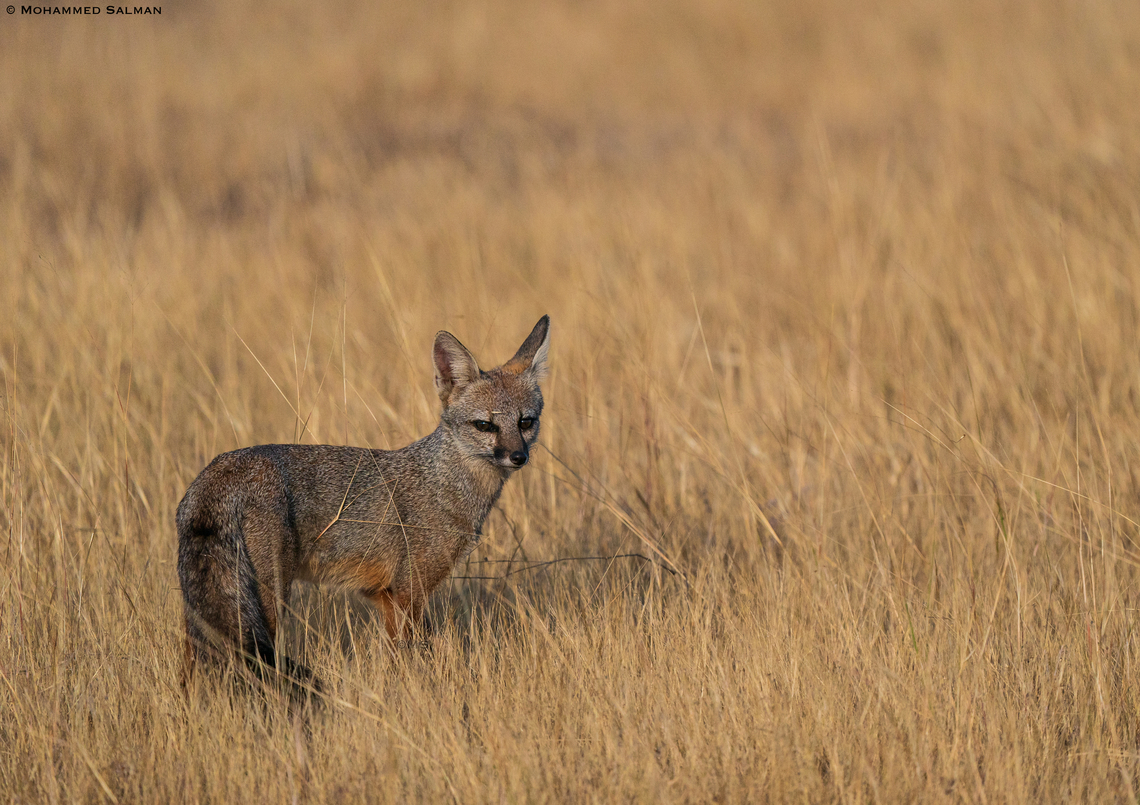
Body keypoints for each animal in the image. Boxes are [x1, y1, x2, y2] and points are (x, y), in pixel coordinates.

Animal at [177, 315, 550, 690]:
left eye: (525, 422)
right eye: (485, 425)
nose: (518, 457)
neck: (442, 482)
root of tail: (221, 469)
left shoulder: (382, 593)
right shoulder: (408, 591)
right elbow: (413, 657)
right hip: (270, 601)